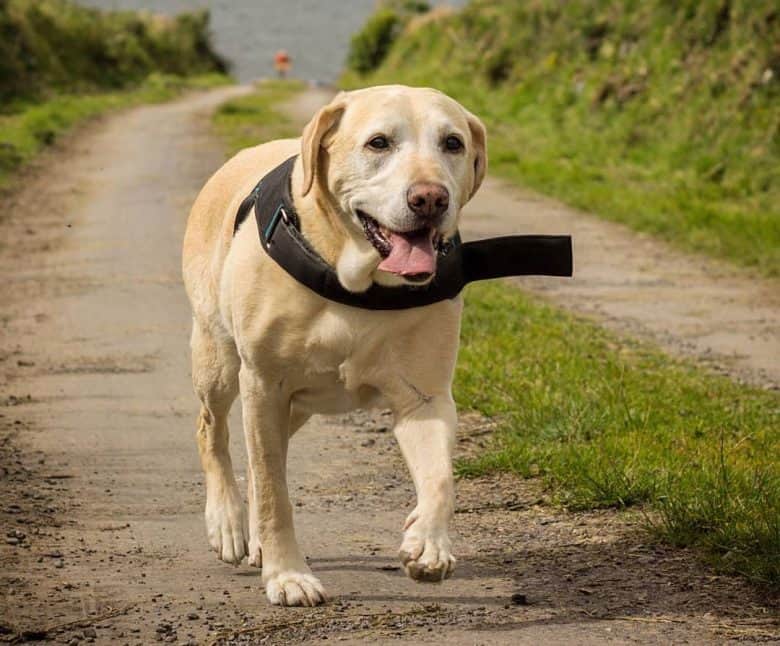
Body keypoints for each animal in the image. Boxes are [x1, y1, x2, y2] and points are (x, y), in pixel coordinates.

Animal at [184, 85, 488, 608]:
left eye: (452, 143)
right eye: (379, 142)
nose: (430, 197)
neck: (356, 284)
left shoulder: (425, 397)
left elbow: (441, 477)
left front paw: (427, 542)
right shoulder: (263, 383)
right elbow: (273, 492)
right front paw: (289, 575)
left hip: (297, 405)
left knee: (265, 455)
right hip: (219, 360)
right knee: (214, 431)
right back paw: (228, 523)